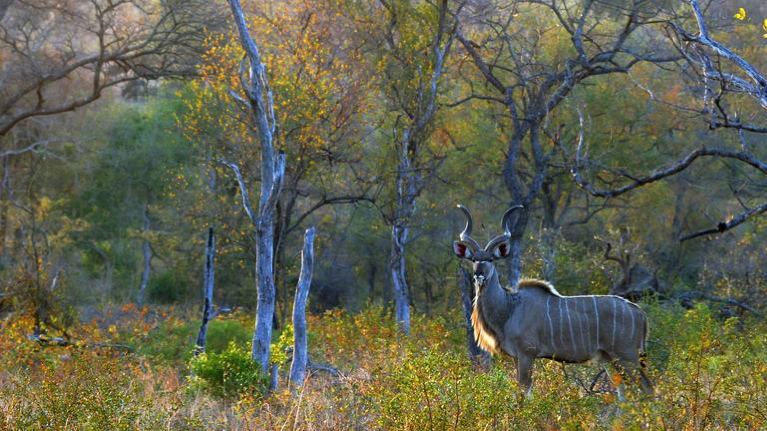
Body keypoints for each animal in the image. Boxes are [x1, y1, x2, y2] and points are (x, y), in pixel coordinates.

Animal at [456, 206, 656, 398]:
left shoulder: (527, 353)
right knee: (622, 390)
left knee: (647, 389)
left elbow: (524, 391)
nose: (478, 274)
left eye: (490, 259)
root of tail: (640, 313)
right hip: (608, 358)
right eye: (473, 259)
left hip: (626, 356)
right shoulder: (516, 356)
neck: (509, 308)